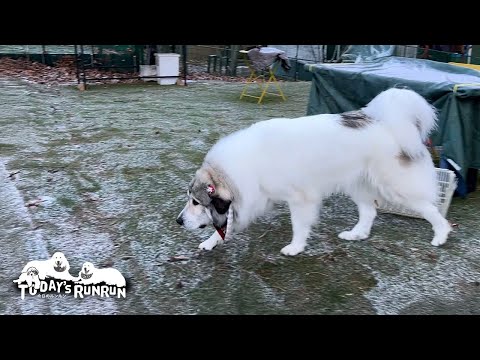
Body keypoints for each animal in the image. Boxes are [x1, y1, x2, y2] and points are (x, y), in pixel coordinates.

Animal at [175, 87, 450, 256]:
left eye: (196, 202)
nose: (178, 221)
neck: (248, 162)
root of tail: (387, 122)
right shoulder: (253, 197)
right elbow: (227, 225)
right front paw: (210, 242)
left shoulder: (300, 198)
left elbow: (299, 225)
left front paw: (295, 247)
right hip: (358, 184)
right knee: (369, 212)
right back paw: (356, 234)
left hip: (396, 187)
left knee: (429, 208)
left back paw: (441, 234)